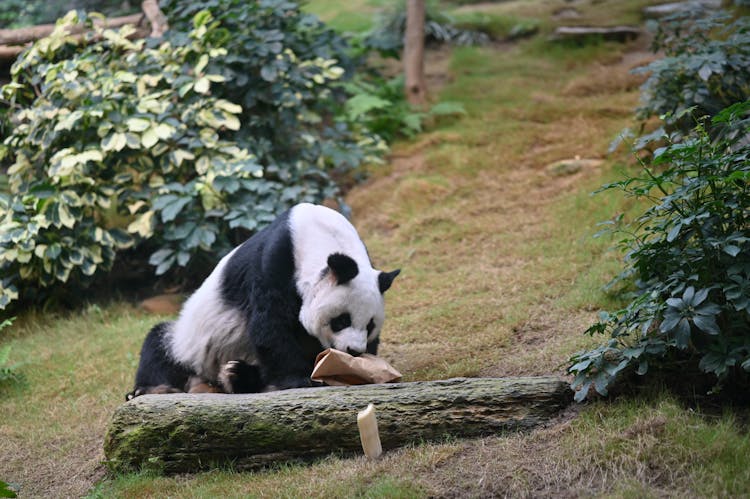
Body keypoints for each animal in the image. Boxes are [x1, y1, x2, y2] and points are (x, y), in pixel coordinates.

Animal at [128, 201, 400, 400]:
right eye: (341, 320)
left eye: (370, 326)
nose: (354, 351)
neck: (323, 235)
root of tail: (204, 382)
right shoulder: (276, 264)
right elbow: (271, 323)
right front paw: (300, 379)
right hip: (188, 344)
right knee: (159, 346)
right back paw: (151, 389)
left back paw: (237, 376)